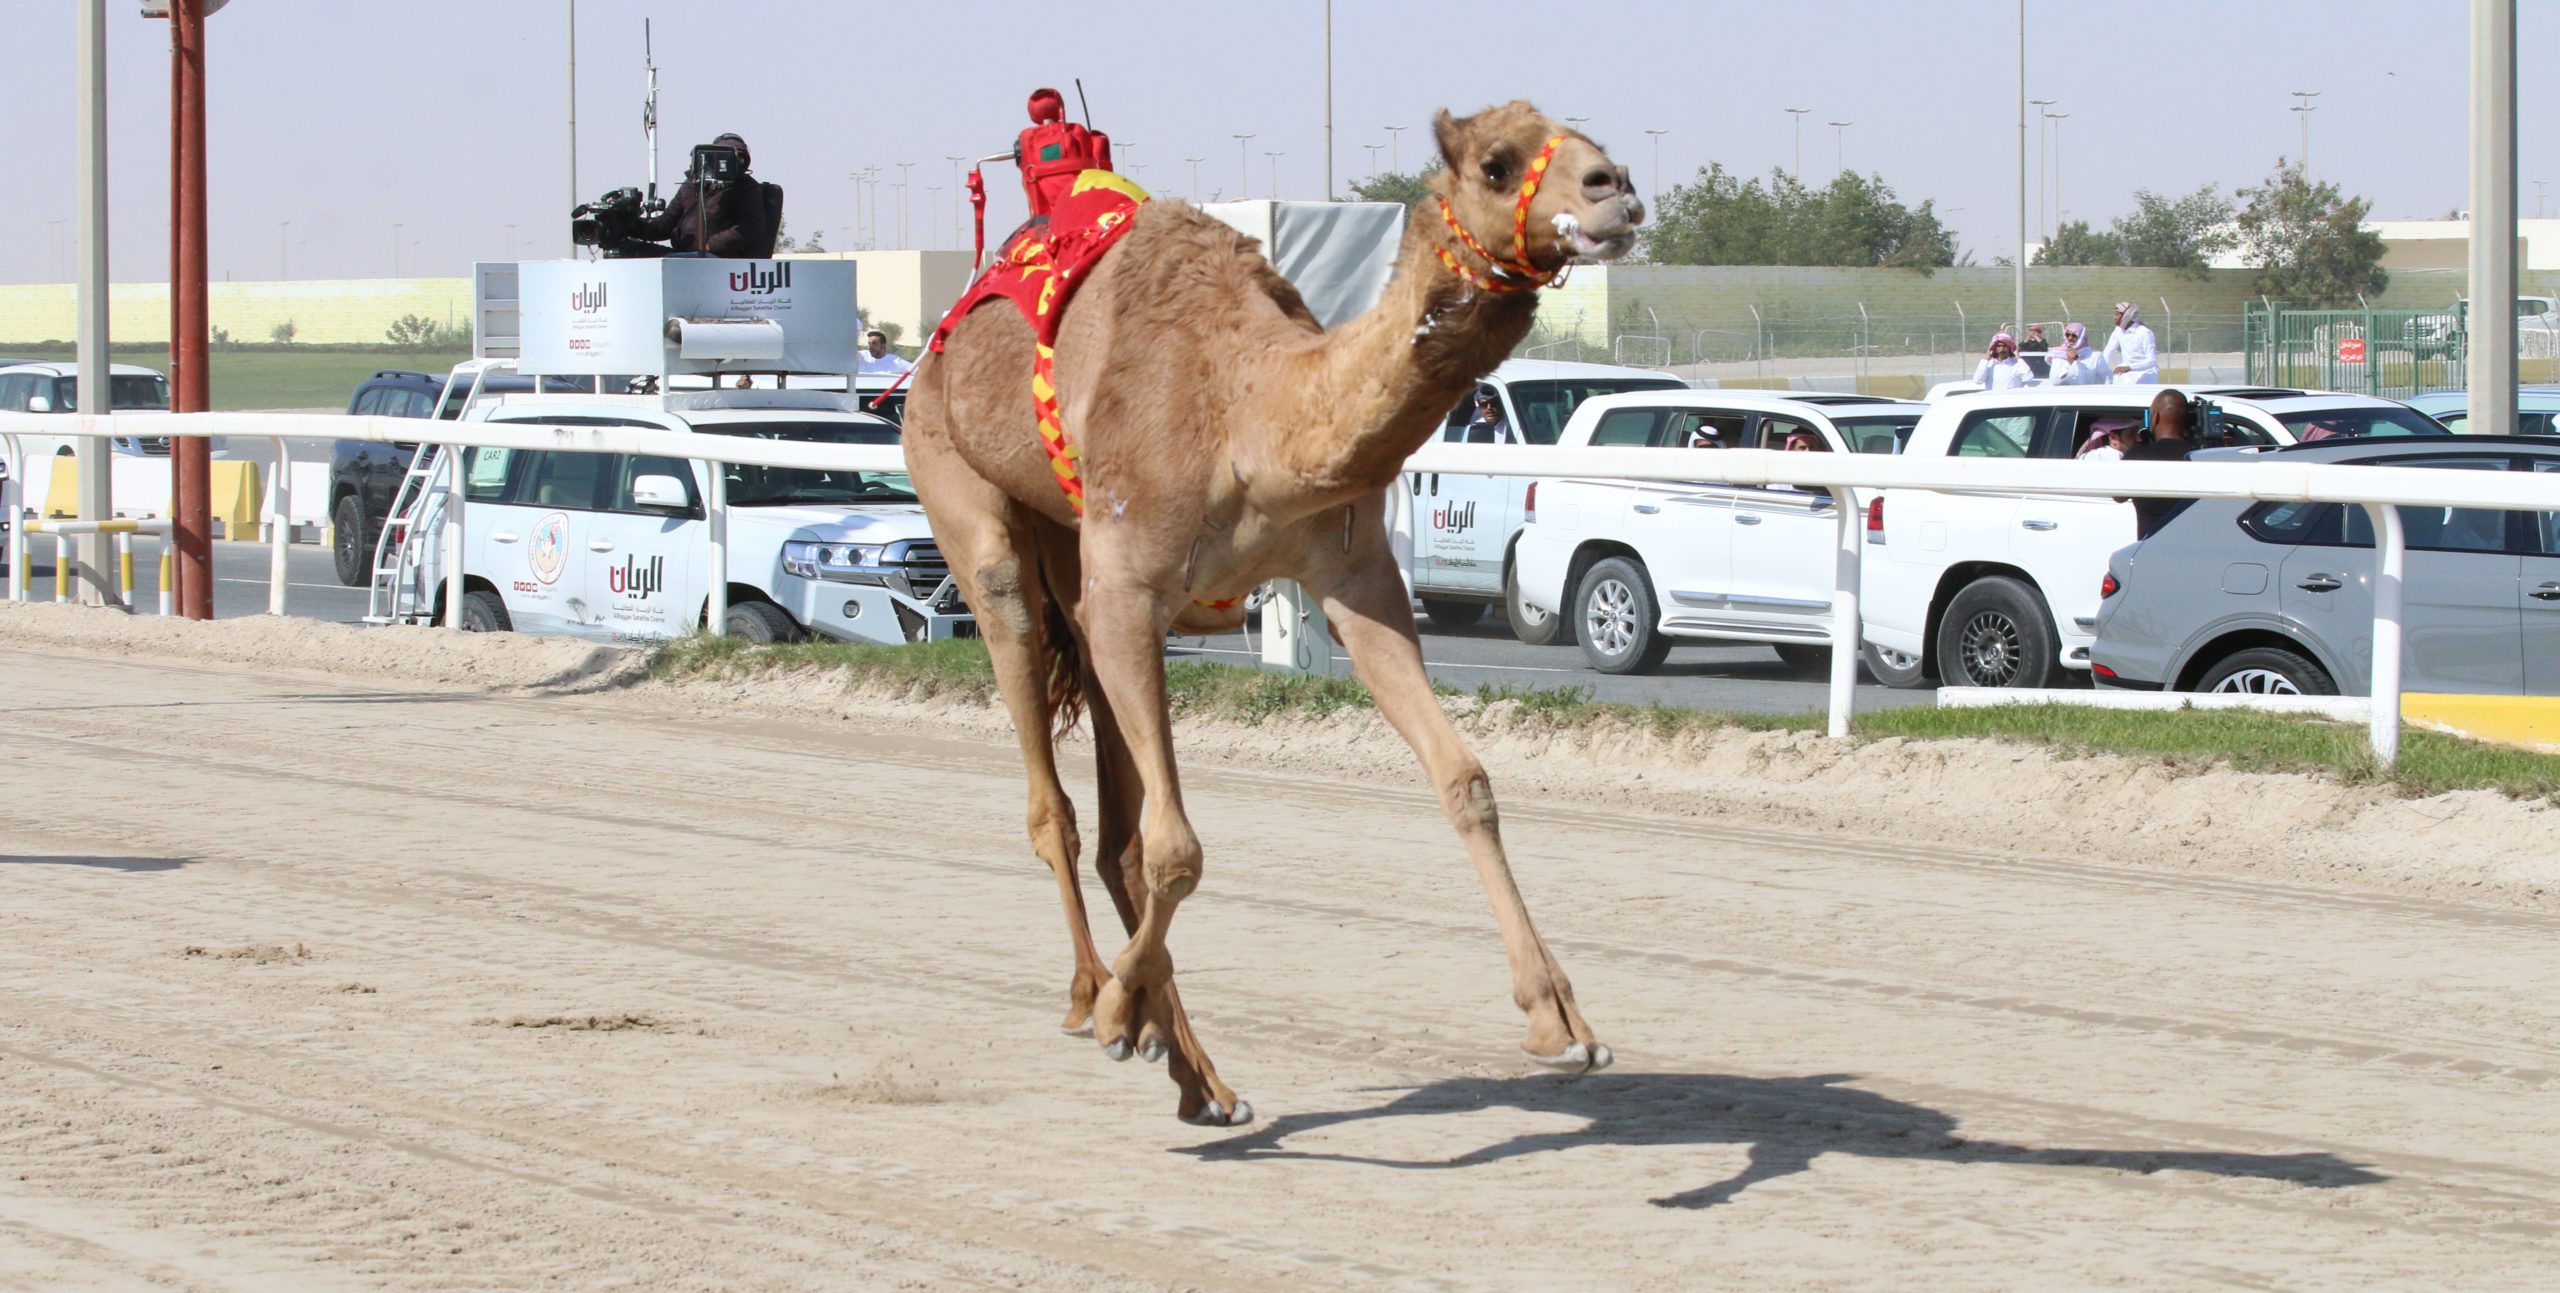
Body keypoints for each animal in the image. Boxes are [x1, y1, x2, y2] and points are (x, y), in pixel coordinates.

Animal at [911, 105, 1648, 1126]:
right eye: (1498, 165)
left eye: (1591, 141)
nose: (1617, 188)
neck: (1249, 417)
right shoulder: (1133, 587)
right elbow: (1178, 847)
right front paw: (1116, 1012)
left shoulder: (1356, 580)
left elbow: (1465, 779)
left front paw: (1561, 1023)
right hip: (963, 497)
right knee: (1050, 792)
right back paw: (1098, 997)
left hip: (1076, 565)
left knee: (1114, 826)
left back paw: (1196, 1076)